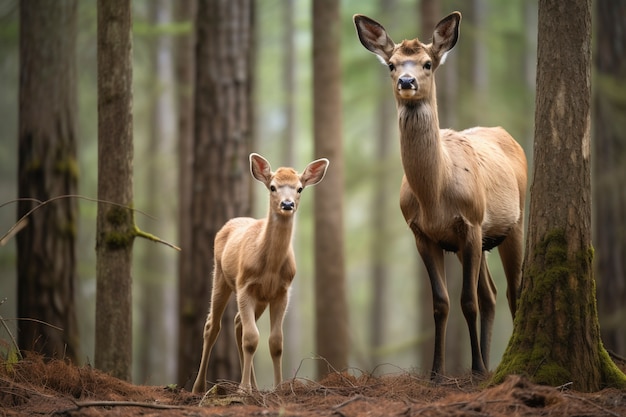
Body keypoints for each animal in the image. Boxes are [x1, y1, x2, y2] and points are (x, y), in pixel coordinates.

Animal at [193, 153, 330, 394]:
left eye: (300, 188)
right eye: (273, 187)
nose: (287, 204)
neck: (271, 267)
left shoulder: (282, 291)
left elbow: (275, 342)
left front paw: (278, 387)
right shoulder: (244, 285)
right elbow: (251, 339)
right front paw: (242, 390)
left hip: (261, 299)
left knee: (238, 323)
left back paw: (254, 386)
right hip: (221, 276)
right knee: (213, 325)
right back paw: (199, 387)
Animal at [354, 12, 524, 376]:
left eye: (428, 63)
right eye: (391, 64)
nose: (406, 81)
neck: (434, 195)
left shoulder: (470, 222)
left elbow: (467, 302)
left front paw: (475, 370)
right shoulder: (422, 233)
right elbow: (441, 303)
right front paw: (437, 373)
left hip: (511, 224)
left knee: (512, 289)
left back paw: (499, 362)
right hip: (477, 241)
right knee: (490, 292)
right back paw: (486, 363)